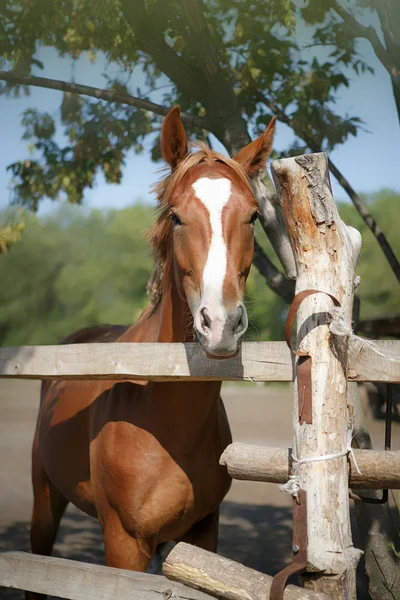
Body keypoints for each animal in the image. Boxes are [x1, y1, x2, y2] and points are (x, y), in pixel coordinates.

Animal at [27, 104, 276, 596]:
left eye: (254, 217)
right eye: (176, 217)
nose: (221, 323)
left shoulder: (202, 535)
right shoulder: (124, 543)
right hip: (44, 505)